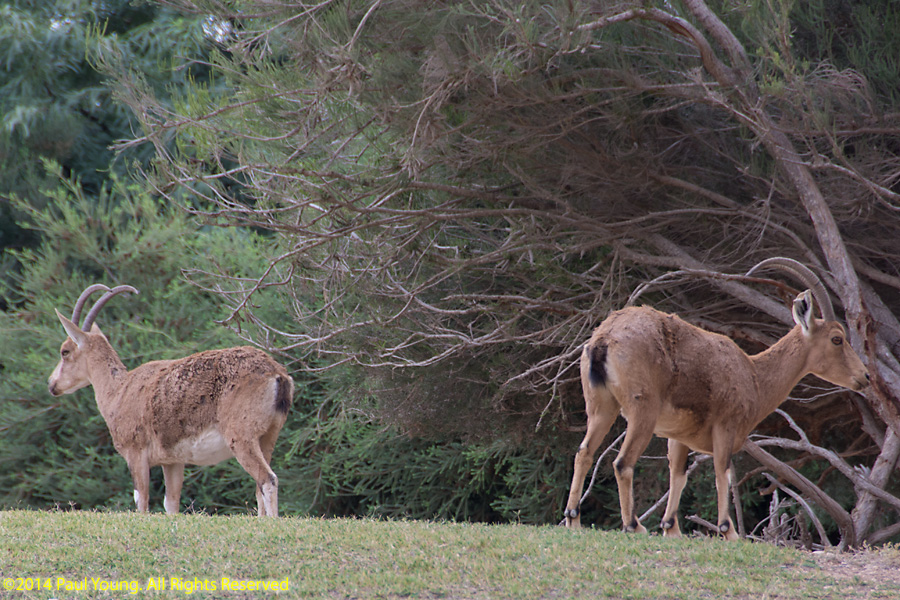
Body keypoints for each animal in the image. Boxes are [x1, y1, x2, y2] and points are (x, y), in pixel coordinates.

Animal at [48, 284, 294, 517]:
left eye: (65, 351)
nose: (52, 384)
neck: (118, 392)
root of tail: (277, 374)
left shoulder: (136, 453)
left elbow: (142, 500)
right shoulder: (172, 461)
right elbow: (171, 502)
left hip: (241, 436)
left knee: (267, 479)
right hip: (267, 436)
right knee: (260, 484)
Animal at [563, 258, 870, 540]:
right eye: (837, 339)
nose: (865, 377)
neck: (754, 376)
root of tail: (604, 340)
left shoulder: (678, 436)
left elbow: (679, 474)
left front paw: (671, 528)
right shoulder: (726, 424)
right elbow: (723, 471)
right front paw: (728, 529)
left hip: (601, 407)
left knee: (584, 452)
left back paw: (573, 519)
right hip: (643, 411)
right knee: (622, 462)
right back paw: (633, 525)